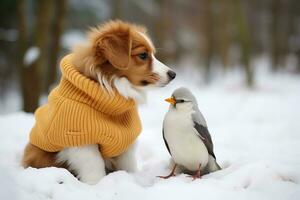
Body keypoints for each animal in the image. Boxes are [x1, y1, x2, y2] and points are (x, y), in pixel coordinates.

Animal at [22, 20, 177, 184]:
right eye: (143, 55)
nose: (173, 74)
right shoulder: (81, 141)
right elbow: (94, 168)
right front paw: (97, 185)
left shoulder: (126, 143)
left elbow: (128, 165)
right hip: (41, 154)